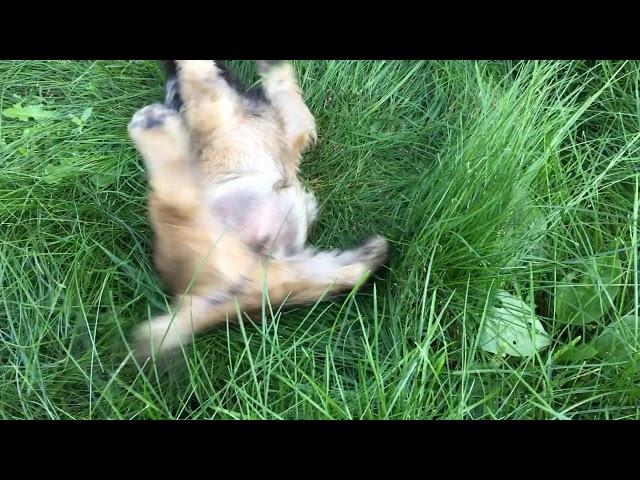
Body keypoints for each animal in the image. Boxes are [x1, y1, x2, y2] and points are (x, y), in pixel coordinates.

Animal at [127, 61, 388, 360]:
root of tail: (200, 299)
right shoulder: (217, 110)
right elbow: (199, 77)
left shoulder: (287, 129)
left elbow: (287, 95)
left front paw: (273, 67)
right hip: (207, 239)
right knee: (177, 202)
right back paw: (153, 129)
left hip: (285, 272)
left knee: (337, 276)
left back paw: (368, 255)